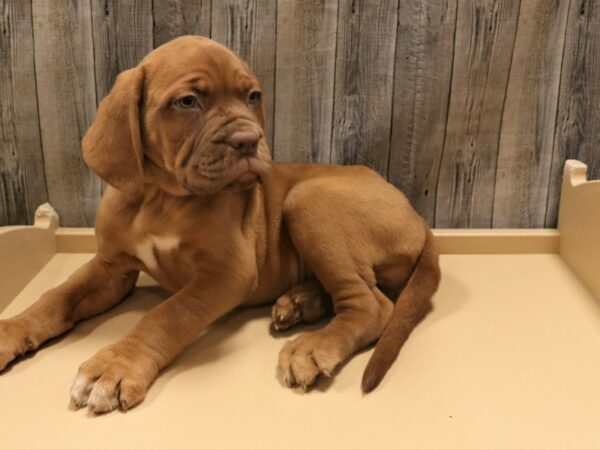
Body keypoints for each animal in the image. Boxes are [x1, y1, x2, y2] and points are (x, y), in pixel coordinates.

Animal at [0, 37, 440, 414]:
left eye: (253, 97)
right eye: (188, 101)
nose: (248, 139)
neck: (160, 198)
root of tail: (420, 220)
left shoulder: (226, 274)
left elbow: (166, 315)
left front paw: (115, 366)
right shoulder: (112, 268)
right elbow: (55, 297)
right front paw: (10, 330)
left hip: (307, 199)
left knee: (372, 304)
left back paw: (313, 346)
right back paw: (299, 303)